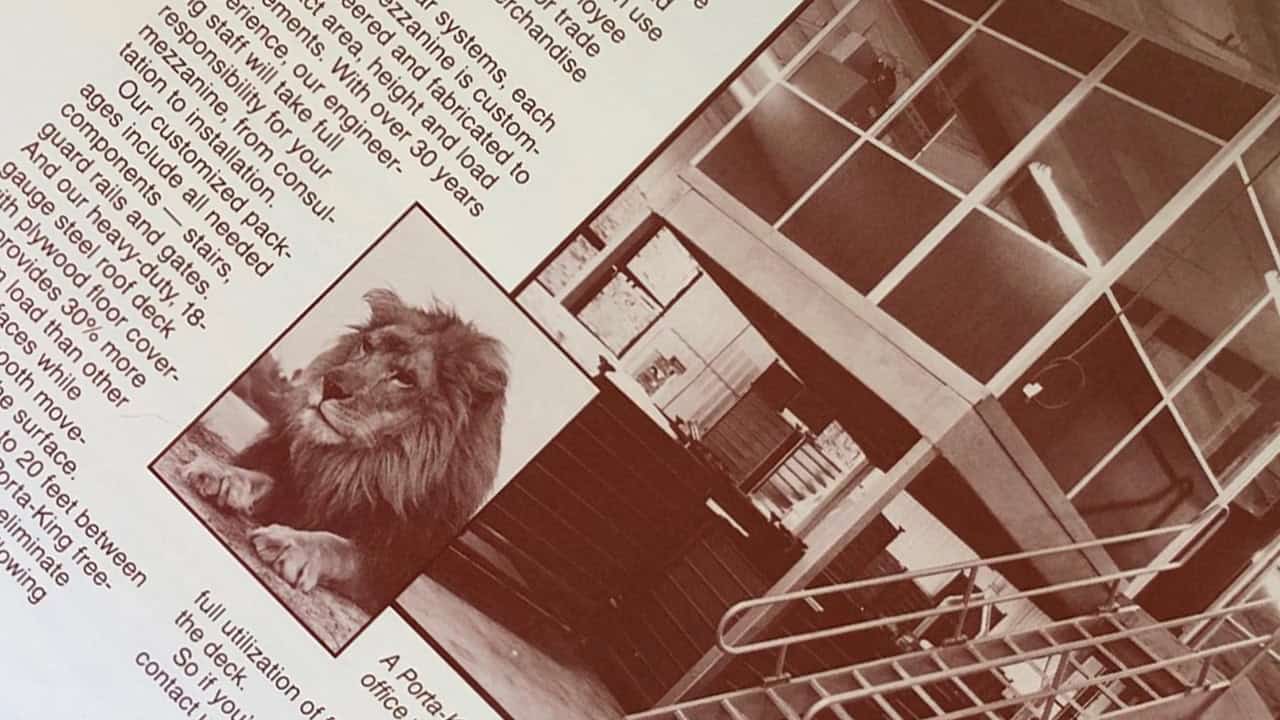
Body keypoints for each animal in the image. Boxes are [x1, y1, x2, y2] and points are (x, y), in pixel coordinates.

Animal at [181, 288, 509, 607]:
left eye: (404, 378)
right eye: (367, 346)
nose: (331, 385)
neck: (361, 468)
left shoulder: (391, 566)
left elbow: (340, 548)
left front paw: (289, 543)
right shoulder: (304, 489)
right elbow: (266, 479)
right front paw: (221, 474)